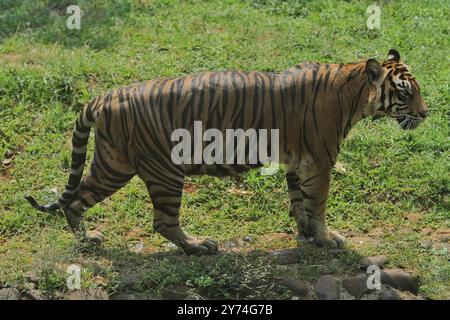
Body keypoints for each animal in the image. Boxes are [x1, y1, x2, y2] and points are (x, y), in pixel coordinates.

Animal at [24, 49, 428, 255]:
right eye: (405, 93)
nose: (426, 114)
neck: (355, 94)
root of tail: (103, 97)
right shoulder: (320, 162)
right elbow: (318, 205)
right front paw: (327, 238)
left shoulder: (297, 162)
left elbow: (299, 202)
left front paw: (306, 234)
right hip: (154, 170)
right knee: (161, 221)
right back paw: (198, 246)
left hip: (111, 161)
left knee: (77, 199)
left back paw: (87, 239)